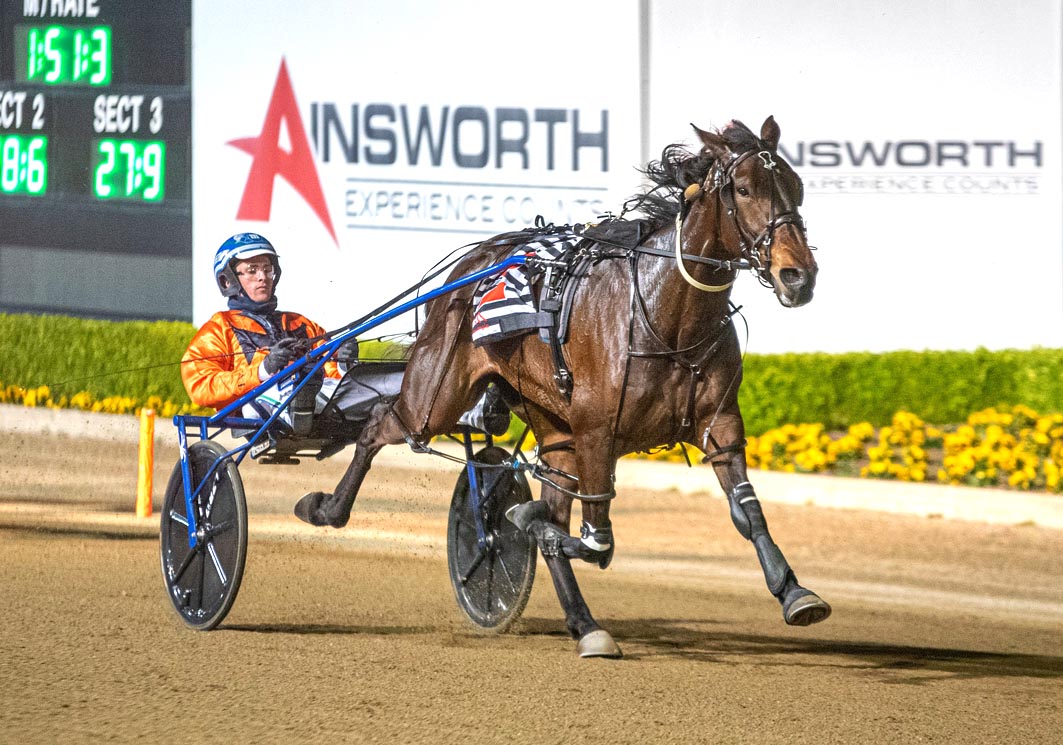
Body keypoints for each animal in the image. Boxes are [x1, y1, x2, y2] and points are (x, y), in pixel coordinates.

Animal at [295, 116, 829, 657]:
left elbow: (747, 512)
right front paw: (522, 517)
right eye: (743, 189)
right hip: (436, 394)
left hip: (553, 427)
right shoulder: (596, 429)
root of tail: (476, 260)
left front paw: (795, 592)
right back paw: (326, 508)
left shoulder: (719, 425)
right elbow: (595, 539)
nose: (797, 275)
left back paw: (584, 622)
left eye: (796, 186)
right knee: (381, 425)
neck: (666, 315)